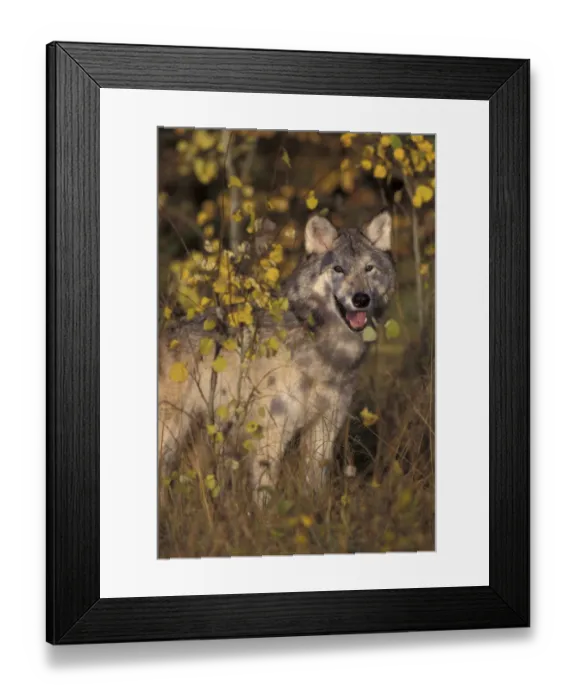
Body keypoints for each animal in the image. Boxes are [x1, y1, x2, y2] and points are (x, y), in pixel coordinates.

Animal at [158, 210, 396, 504]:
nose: (360, 299)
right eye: (338, 269)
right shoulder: (272, 431)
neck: (327, 353)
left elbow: (315, 484)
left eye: (369, 268)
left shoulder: (325, 427)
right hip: (170, 436)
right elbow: (265, 491)